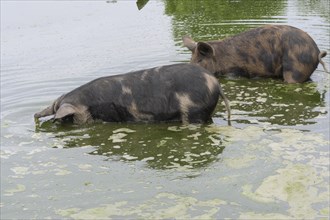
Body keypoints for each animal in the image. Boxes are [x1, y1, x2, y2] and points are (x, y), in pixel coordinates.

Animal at [183, 24, 328, 83]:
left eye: (200, 60)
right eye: (191, 60)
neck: (220, 57)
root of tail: (316, 51)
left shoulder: (235, 72)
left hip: (295, 68)